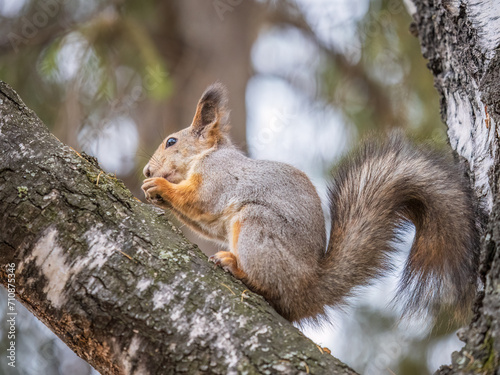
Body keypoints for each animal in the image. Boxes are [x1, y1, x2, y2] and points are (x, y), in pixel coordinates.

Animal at [140, 82, 480, 324]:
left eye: (171, 141)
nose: (146, 171)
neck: (207, 155)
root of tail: (307, 288)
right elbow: (203, 223)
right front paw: (152, 192)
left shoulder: (219, 179)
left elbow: (200, 200)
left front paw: (160, 186)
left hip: (257, 227)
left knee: (272, 289)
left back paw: (236, 267)